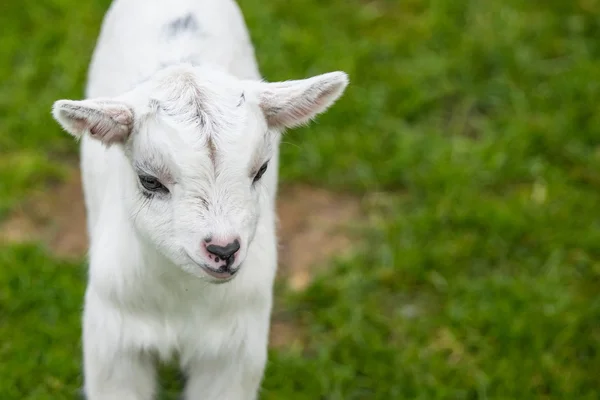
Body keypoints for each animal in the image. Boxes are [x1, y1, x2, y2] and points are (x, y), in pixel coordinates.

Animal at [49, 0, 350, 400]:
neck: (183, 297)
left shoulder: (236, 349)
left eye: (262, 169)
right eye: (149, 180)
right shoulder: (113, 342)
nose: (223, 250)